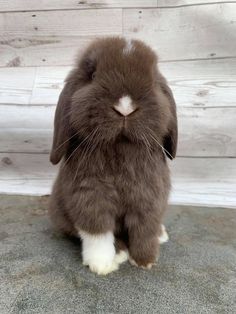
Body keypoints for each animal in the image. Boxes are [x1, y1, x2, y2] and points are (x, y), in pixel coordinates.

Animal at [48, 36, 177, 274]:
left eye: (153, 80)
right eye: (92, 75)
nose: (125, 107)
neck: (120, 148)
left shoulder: (150, 197)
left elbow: (145, 229)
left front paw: (146, 260)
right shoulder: (90, 196)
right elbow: (98, 231)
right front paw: (101, 265)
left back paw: (160, 234)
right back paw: (119, 252)